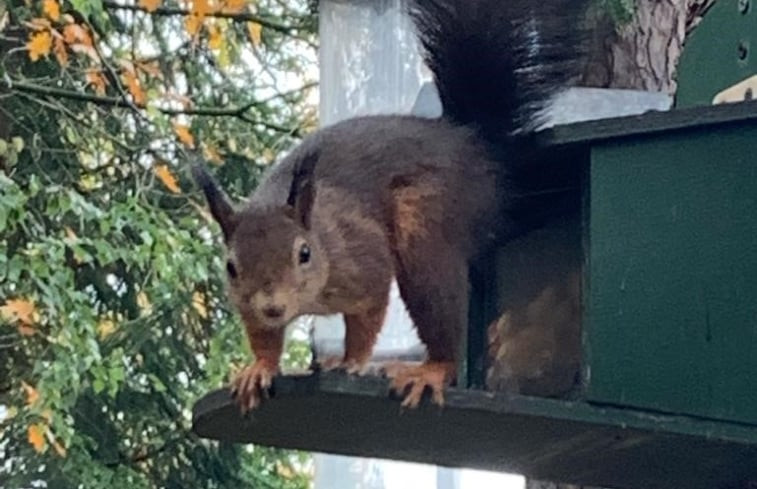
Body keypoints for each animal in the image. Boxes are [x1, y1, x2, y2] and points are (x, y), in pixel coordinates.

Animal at [192, 0, 588, 412]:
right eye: (231, 267)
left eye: (304, 253)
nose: (273, 307)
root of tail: (474, 148)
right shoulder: (248, 304)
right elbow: (263, 335)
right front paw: (261, 368)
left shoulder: (363, 259)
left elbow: (367, 315)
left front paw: (352, 360)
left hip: (424, 223)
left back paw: (430, 370)